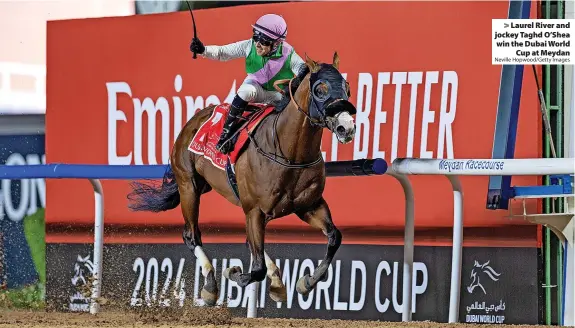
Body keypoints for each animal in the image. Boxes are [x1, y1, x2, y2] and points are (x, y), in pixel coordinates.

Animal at [128, 53, 358, 308]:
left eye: (347, 88)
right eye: (320, 89)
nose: (346, 128)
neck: (289, 153)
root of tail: (194, 120)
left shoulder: (308, 206)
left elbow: (334, 237)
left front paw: (305, 282)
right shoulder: (255, 209)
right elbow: (256, 269)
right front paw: (232, 272)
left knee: (250, 242)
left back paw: (276, 283)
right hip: (188, 185)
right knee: (191, 235)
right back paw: (210, 286)